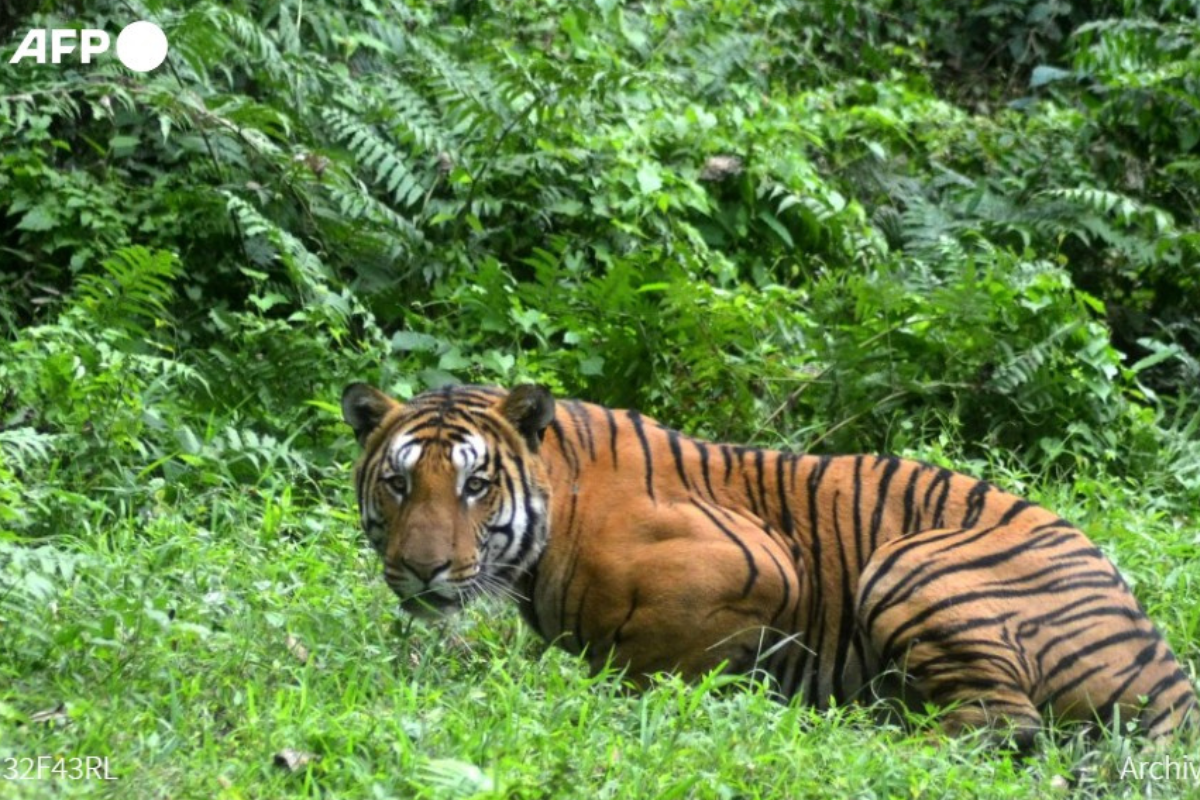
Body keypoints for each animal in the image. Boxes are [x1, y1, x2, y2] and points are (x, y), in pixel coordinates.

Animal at [343, 381, 1195, 743]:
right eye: (399, 481)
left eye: (476, 485)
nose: (422, 569)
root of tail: (1169, 672)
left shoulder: (761, 564)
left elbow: (654, 664)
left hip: (910, 562)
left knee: (1002, 723)